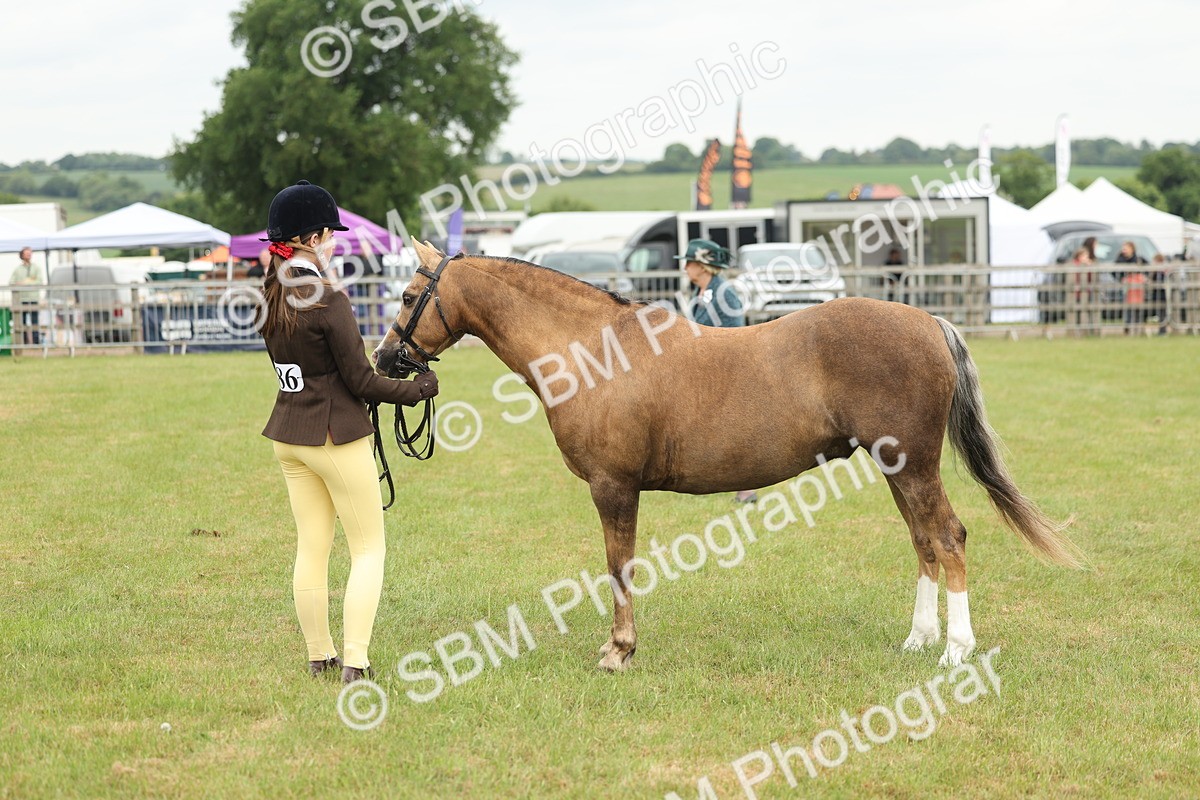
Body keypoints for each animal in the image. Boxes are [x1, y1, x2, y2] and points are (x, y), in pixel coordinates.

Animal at [373, 238, 1082, 672]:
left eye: (407, 297)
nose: (384, 358)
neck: (594, 350)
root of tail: (927, 321)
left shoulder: (613, 487)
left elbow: (618, 566)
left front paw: (619, 650)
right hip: (896, 469)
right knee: (923, 541)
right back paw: (918, 638)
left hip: (914, 465)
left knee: (948, 536)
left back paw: (955, 649)